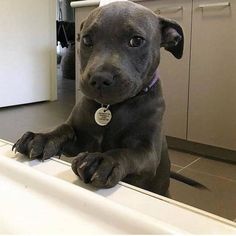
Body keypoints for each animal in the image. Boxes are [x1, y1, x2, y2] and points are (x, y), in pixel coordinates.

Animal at [12, 1, 203, 196]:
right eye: (87, 40)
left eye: (136, 40)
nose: (99, 79)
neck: (112, 106)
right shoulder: (79, 142)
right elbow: (63, 128)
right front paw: (41, 138)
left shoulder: (148, 152)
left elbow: (127, 153)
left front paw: (103, 161)